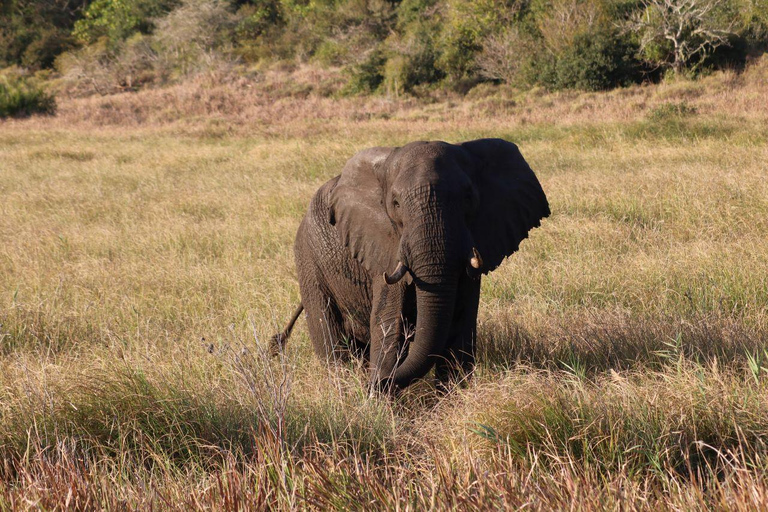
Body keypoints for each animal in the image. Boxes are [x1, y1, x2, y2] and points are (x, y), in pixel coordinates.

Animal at [272, 139, 548, 392]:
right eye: (395, 204)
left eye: (469, 198)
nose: (374, 384)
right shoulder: (385, 247)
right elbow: (389, 325)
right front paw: (379, 402)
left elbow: (461, 324)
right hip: (308, 258)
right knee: (329, 334)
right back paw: (344, 386)